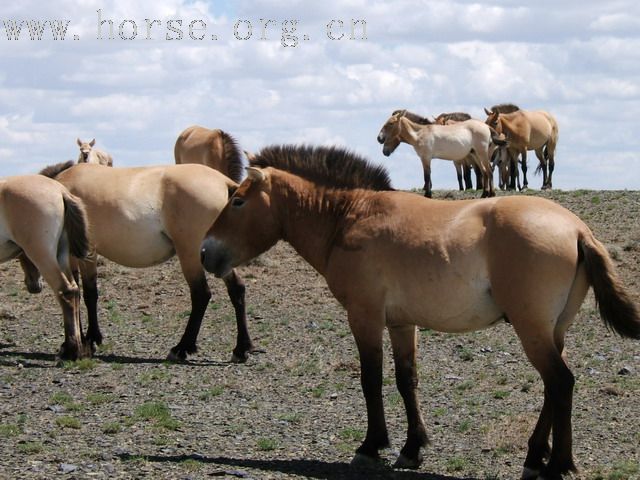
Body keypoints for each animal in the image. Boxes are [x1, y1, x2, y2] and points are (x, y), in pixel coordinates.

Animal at [0, 174, 92, 358]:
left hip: (43, 256)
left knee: (66, 291)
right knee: (74, 290)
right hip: (60, 256)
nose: (34, 286)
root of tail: (61, 191)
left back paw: (72, 351)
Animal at [38, 159, 255, 362]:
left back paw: (181, 348)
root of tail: (224, 182)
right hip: (219, 256)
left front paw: (88, 340)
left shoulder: (84, 254)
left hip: (191, 253)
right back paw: (241, 349)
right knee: (237, 289)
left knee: (201, 294)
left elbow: (88, 294)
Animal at [200, 145, 640, 480]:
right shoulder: (400, 322)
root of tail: (577, 229)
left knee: (561, 383)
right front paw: (412, 448)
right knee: (553, 387)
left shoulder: (364, 317)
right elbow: (405, 381)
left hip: (532, 330)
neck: (349, 217)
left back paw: (557, 465)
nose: (205, 252)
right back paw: (535, 457)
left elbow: (370, 380)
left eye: (237, 200)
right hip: (552, 331)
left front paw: (371, 445)